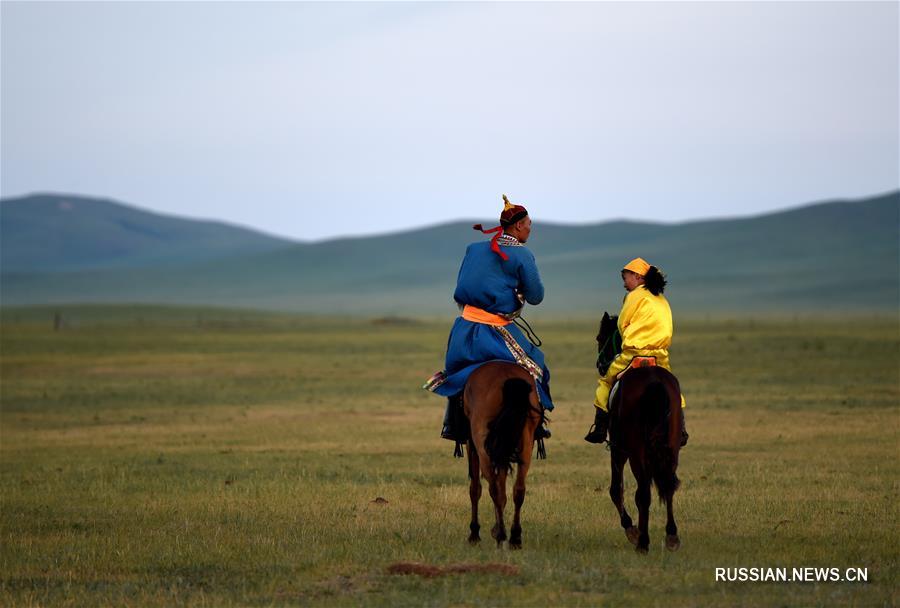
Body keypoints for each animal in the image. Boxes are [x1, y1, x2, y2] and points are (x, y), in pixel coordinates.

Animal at [464, 358, 540, 548]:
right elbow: (503, 485)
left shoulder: (472, 443)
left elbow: (475, 488)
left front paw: (474, 533)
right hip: (526, 443)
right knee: (519, 489)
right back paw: (515, 537)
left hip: (482, 445)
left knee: (492, 488)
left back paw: (500, 534)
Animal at [596, 312, 684, 552]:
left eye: (600, 337)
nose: (600, 365)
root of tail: (654, 383)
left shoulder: (618, 450)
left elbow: (615, 489)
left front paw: (631, 529)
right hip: (671, 447)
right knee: (669, 485)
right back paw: (671, 536)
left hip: (636, 451)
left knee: (643, 492)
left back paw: (643, 541)